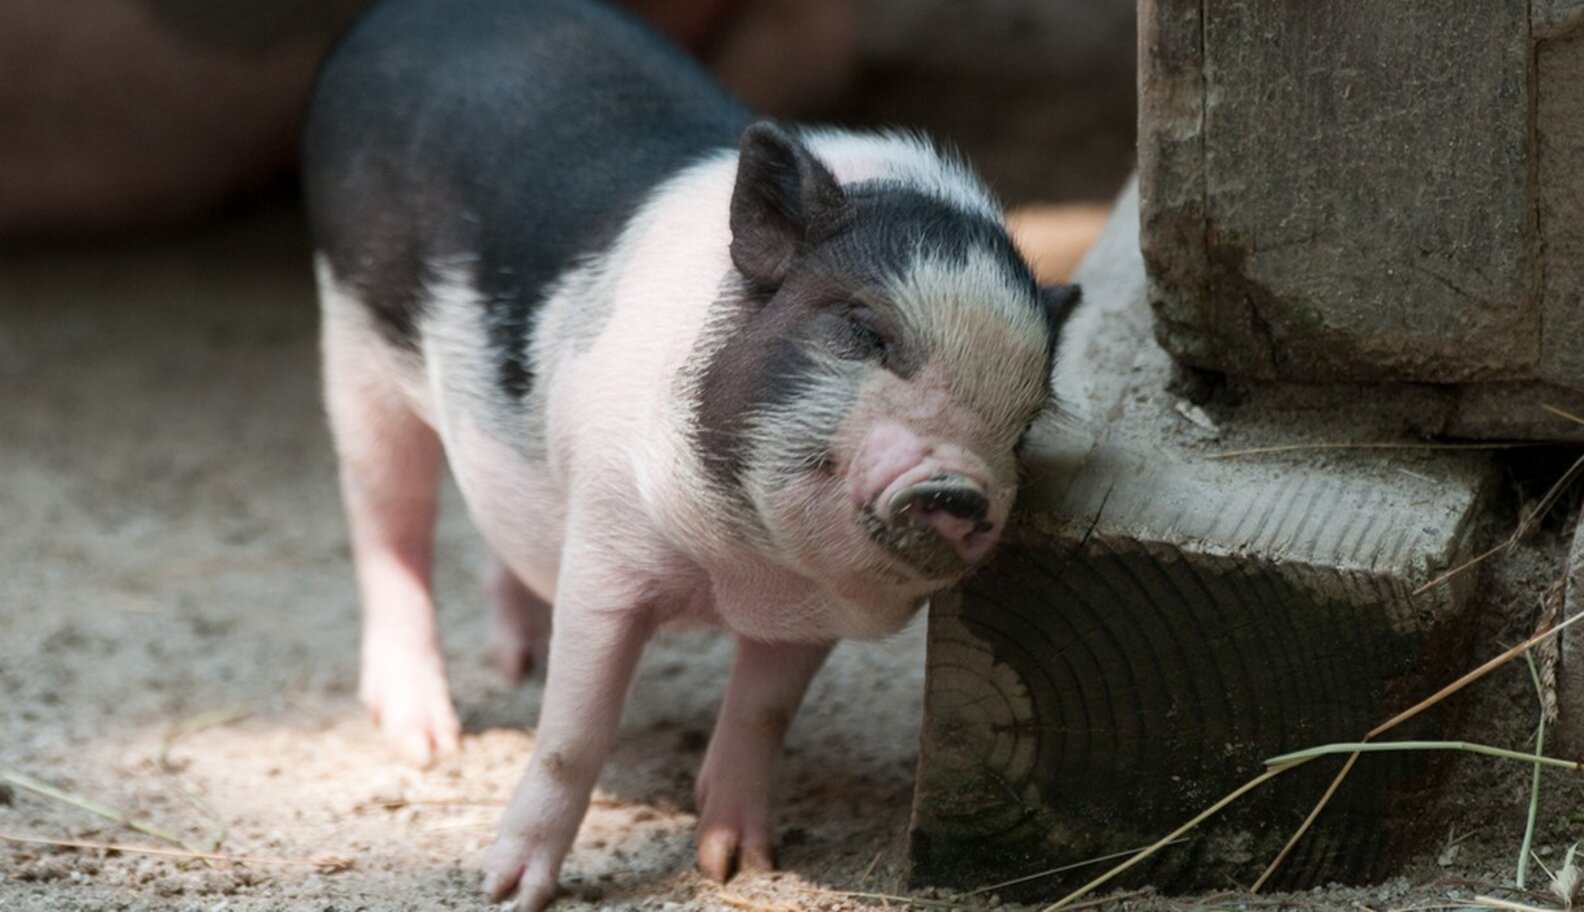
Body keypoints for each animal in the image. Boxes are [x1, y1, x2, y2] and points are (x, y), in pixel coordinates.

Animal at [301, 0, 1079, 907]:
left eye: (1026, 419)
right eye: (863, 329)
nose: (958, 489)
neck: (735, 569)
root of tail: (399, 17)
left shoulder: (805, 617)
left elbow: (761, 716)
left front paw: (739, 864)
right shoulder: (606, 549)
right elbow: (573, 732)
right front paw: (507, 890)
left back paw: (518, 663)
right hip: (353, 344)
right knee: (390, 520)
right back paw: (427, 740)